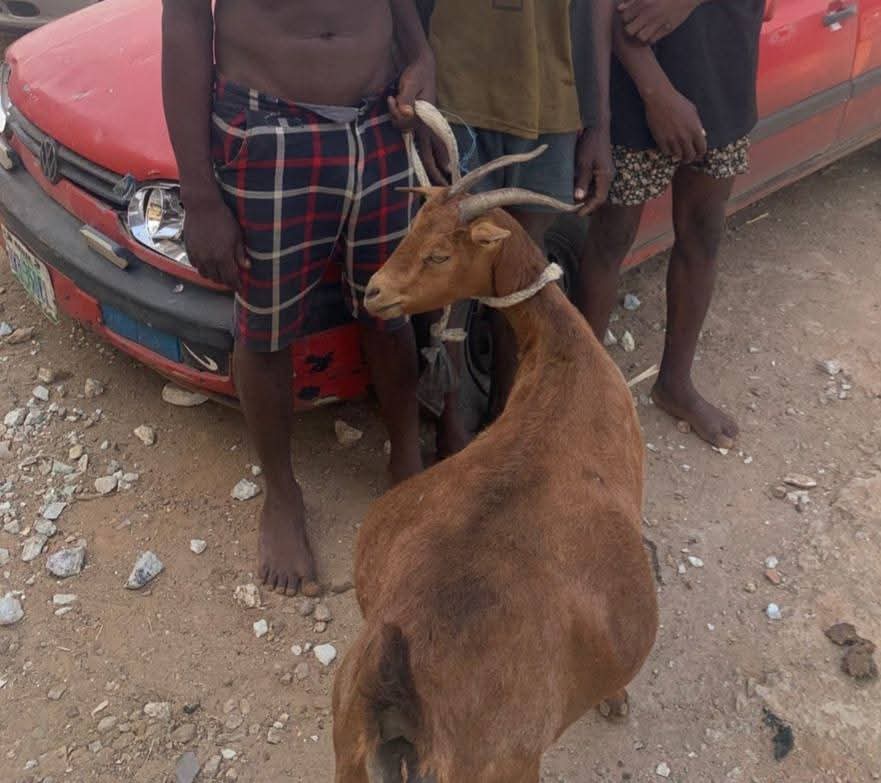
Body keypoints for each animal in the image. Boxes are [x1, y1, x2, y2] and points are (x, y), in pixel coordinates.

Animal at [333, 104, 658, 783]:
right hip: (506, 765)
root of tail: (398, 705)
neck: (563, 357)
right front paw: (616, 698)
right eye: (411, 228)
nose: (374, 291)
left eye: (436, 251)